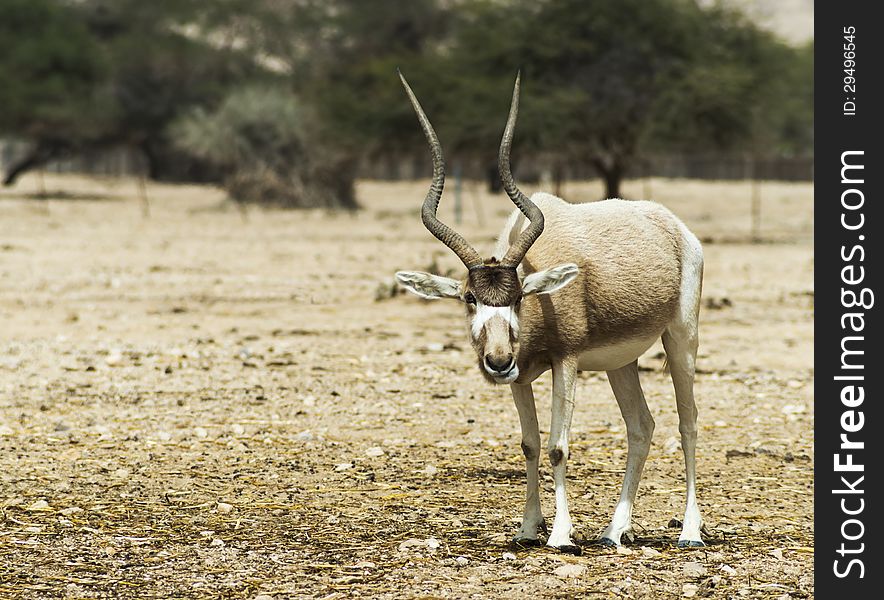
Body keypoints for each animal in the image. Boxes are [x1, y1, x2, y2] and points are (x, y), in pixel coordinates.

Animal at [394, 71, 704, 552]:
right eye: (469, 298)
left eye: (520, 296)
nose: (497, 361)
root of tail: (673, 225)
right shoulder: (520, 378)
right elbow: (530, 443)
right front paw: (526, 528)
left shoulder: (567, 361)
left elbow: (558, 444)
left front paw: (559, 534)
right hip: (621, 363)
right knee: (641, 426)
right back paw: (613, 530)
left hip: (681, 338)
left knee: (687, 423)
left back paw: (689, 531)